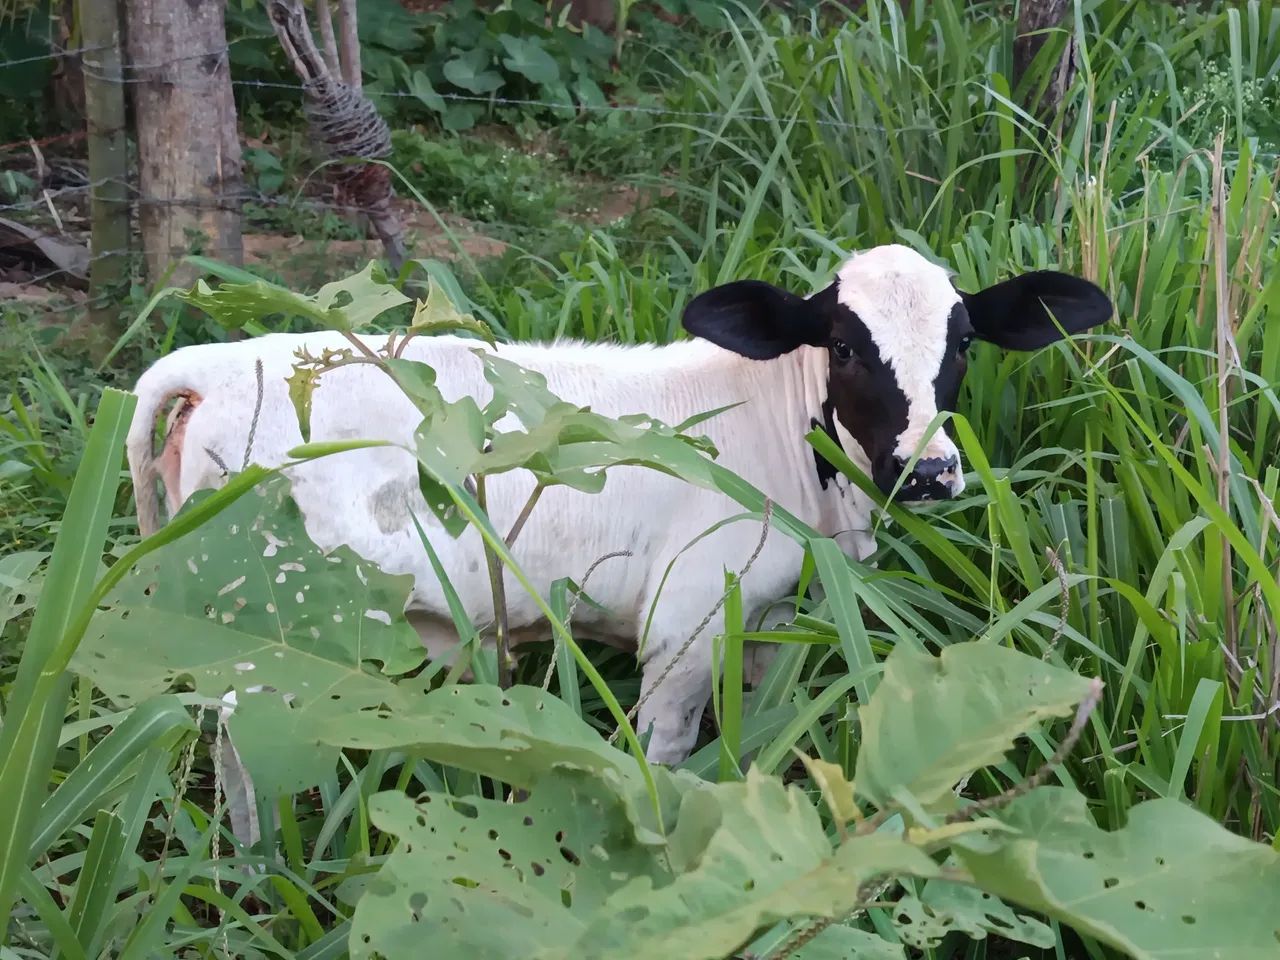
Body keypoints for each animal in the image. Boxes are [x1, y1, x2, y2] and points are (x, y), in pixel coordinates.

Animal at [126, 243, 1113, 766]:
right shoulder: (681, 624)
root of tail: (216, 364)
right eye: (841, 344)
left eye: (964, 343)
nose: (929, 472)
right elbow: (668, 748)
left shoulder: (768, 617)